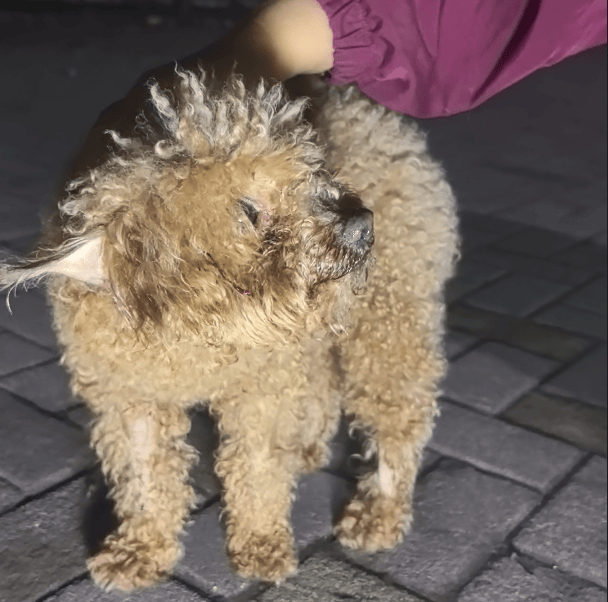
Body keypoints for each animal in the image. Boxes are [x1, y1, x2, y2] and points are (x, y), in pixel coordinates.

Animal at [0, 70, 456, 592]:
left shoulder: (260, 387)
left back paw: (380, 510)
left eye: (310, 173)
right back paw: (307, 446)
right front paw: (140, 548)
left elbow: (257, 464)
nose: (362, 225)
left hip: (389, 313)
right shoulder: (130, 393)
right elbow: (144, 470)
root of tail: (370, 110)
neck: (197, 330)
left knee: (397, 411)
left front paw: (260, 543)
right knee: (324, 381)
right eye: (248, 210)